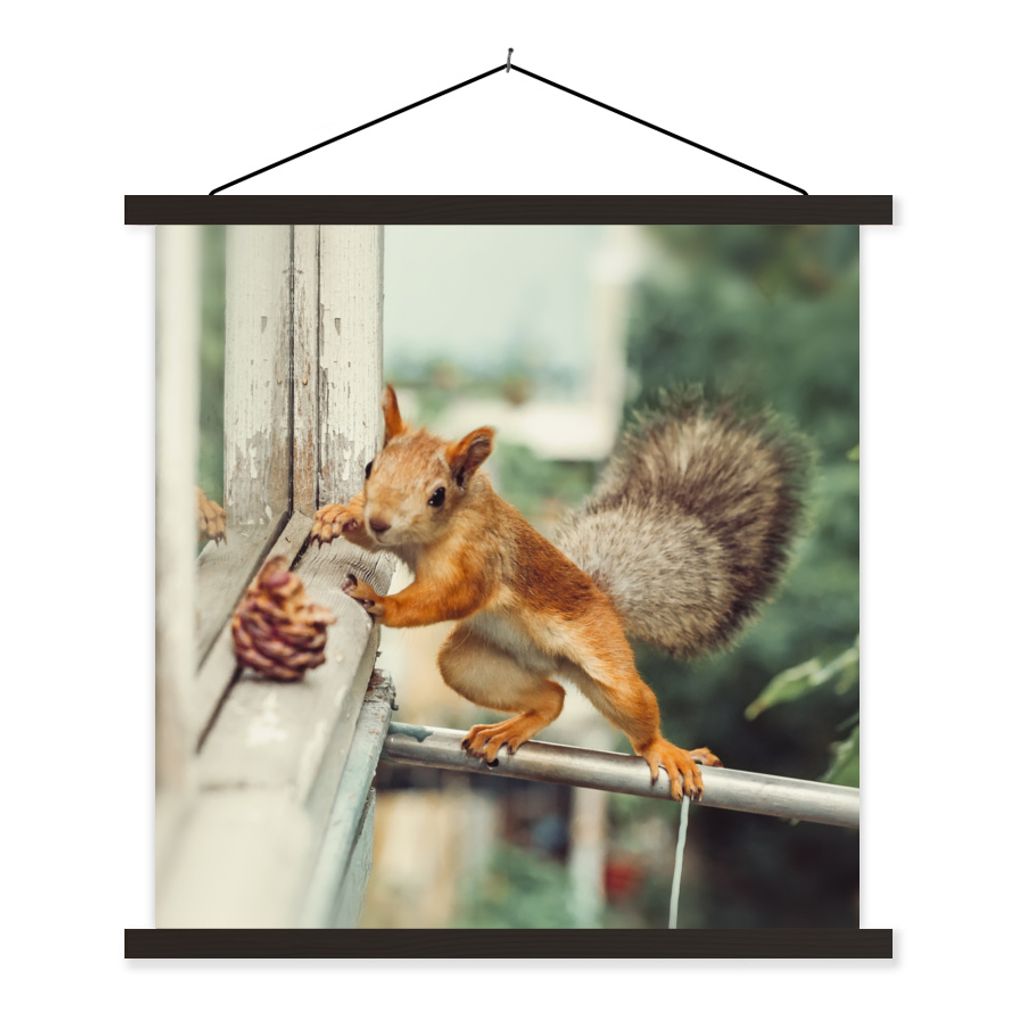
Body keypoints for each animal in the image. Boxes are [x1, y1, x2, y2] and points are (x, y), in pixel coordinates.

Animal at [310, 384, 811, 800]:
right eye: (370, 468)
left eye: (437, 495)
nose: (380, 519)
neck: (435, 532)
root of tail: (604, 599)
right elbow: (371, 543)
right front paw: (340, 517)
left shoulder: (479, 562)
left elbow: (448, 596)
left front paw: (381, 601)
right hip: (471, 664)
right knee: (553, 696)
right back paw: (507, 730)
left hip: (607, 664)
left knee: (632, 709)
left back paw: (666, 749)